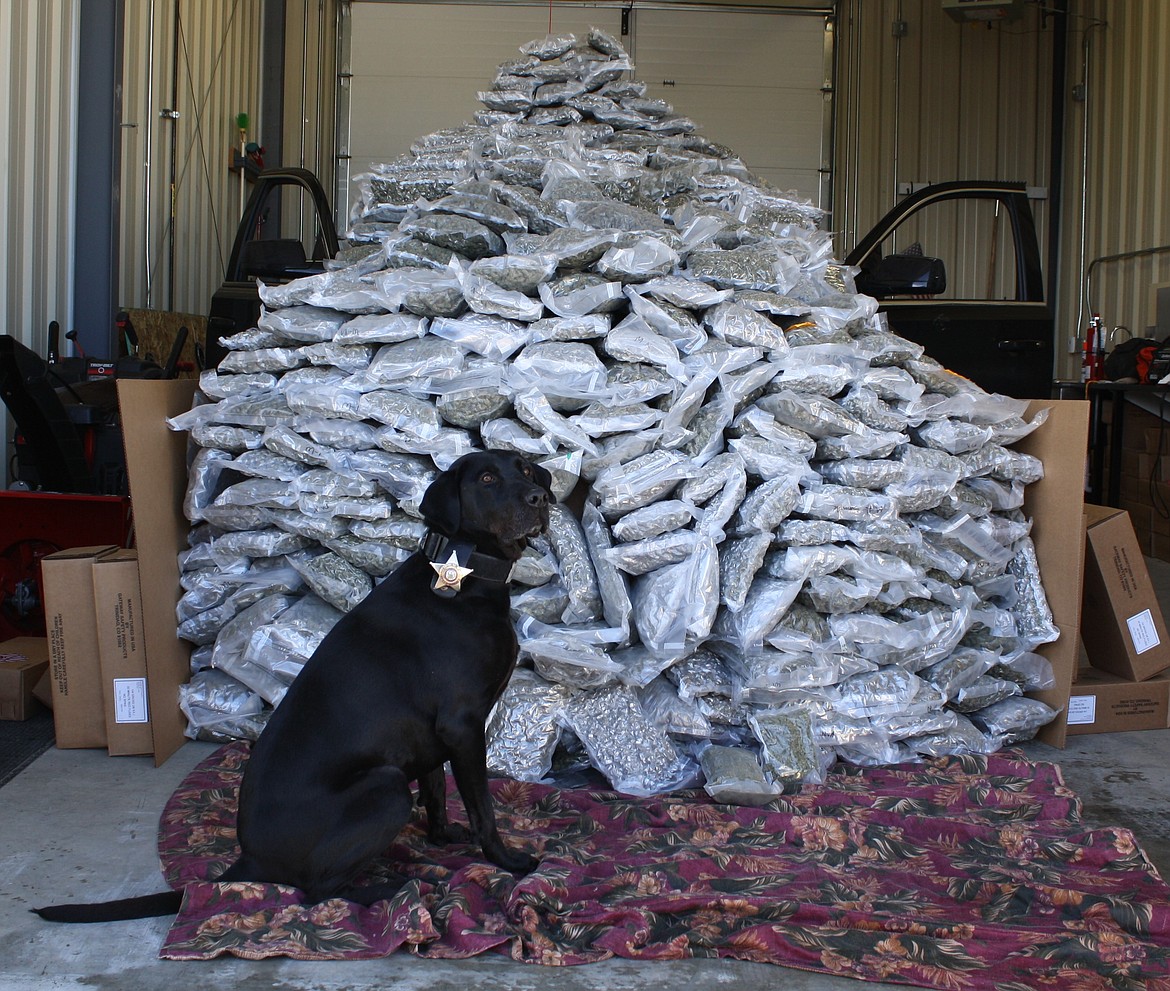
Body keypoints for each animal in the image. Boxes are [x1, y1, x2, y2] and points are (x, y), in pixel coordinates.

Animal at [32, 449, 552, 921]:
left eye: (527, 470)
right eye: (486, 478)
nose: (540, 497)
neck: (460, 572)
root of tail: (250, 860)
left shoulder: (434, 735)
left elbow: (438, 791)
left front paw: (442, 837)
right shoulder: (463, 726)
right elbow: (481, 806)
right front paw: (507, 861)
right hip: (385, 786)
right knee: (316, 891)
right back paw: (394, 890)